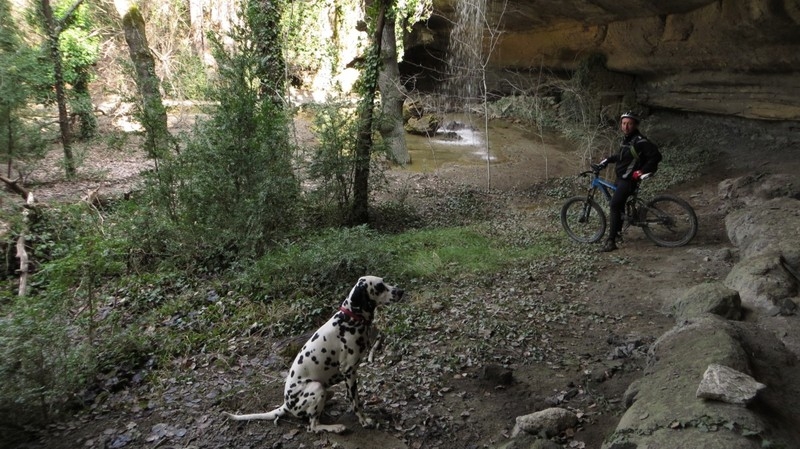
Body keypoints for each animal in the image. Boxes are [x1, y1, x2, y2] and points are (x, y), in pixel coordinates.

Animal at [223, 274, 400, 432]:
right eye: (379, 286)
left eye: (384, 281)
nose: (401, 291)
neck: (349, 320)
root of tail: (286, 405)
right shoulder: (349, 372)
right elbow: (356, 402)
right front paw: (363, 421)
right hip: (316, 387)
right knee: (313, 426)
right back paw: (335, 427)